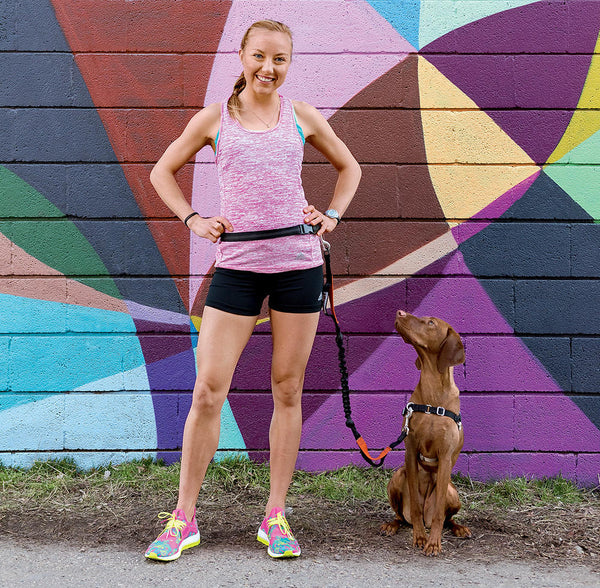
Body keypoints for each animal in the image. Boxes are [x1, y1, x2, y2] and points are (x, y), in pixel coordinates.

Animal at [380, 312, 474, 556]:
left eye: (431, 322)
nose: (400, 312)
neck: (433, 395)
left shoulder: (445, 456)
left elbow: (440, 512)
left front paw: (433, 543)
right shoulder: (411, 450)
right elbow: (414, 504)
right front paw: (420, 537)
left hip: (452, 491)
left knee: (448, 517)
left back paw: (459, 528)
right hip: (397, 478)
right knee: (401, 516)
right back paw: (392, 525)